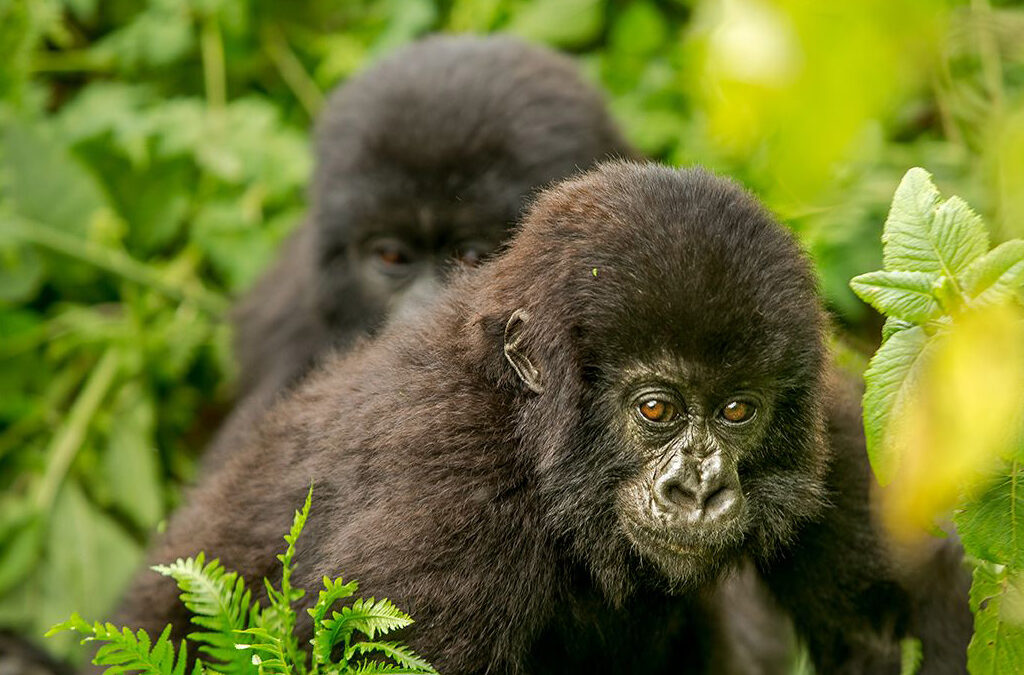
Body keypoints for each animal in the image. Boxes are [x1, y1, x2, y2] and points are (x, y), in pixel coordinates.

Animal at [116, 162, 971, 673]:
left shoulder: (833, 424)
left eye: (737, 409)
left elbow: (902, 607)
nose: (698, 490)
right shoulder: (447, 509)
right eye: (656, 408)